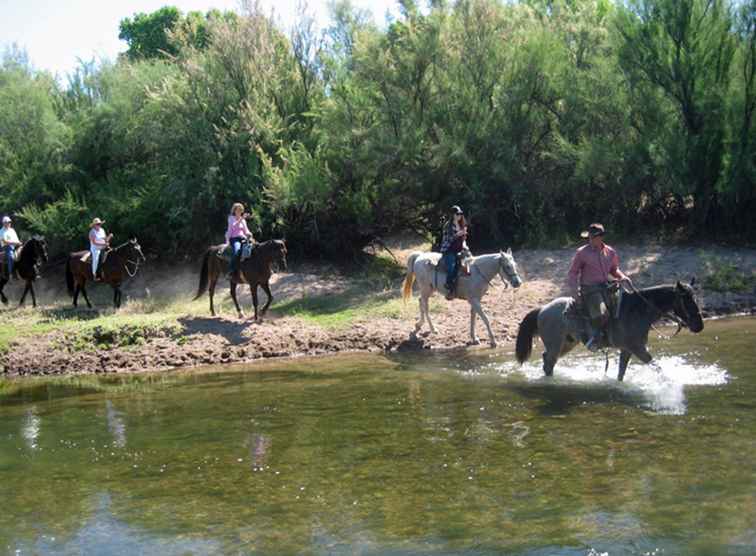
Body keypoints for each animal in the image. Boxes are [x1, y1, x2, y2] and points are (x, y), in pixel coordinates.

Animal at [512, 280, 704, 380]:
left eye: (695, 298)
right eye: (687, 301)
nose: (699, 326)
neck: (638, 310)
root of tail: (542, 309)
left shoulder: (627, 350)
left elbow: (621, 373)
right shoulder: (638, 349)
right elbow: (657, 367)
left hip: (566, 344)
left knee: (547, 360)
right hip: (556, 345)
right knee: (548, 363)